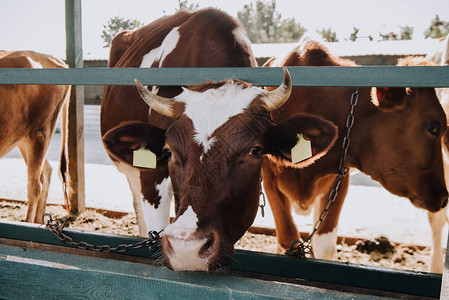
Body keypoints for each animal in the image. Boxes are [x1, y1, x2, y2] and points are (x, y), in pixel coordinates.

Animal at [0, 49, 70, 223]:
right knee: (46, 172)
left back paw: (29, 223)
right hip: (23, 138)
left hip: (40, 132)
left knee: (35, 185)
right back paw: (40, 221)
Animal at [262, 38, 448, 270]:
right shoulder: (269, 180)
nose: (444, 198)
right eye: (434, 127)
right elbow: (287, 240)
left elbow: (324, 246)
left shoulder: (339, 180)